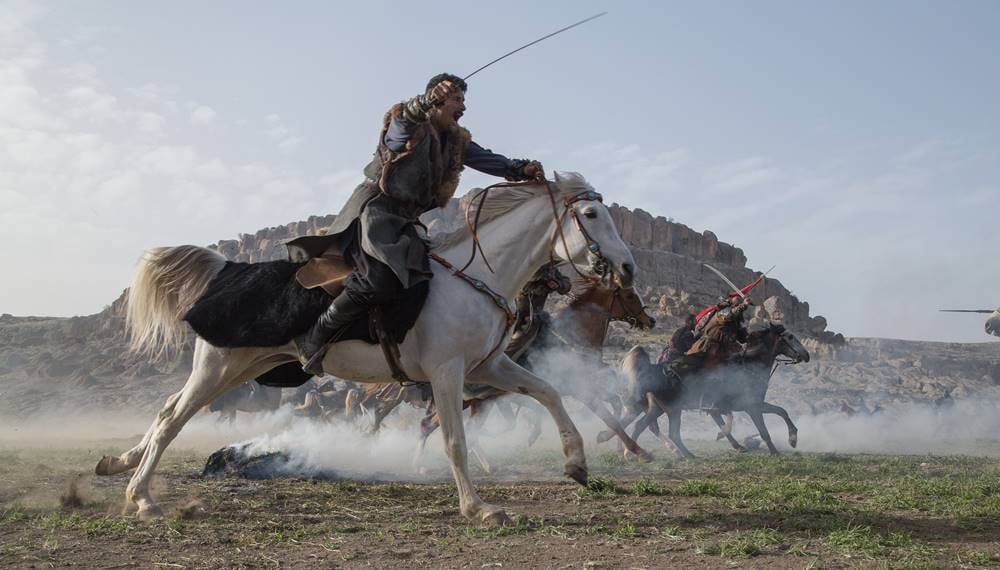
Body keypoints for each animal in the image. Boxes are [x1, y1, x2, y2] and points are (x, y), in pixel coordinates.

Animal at [97, 173, 636, 524]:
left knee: (166, 410)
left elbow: (548, 392)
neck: (476, 277)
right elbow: (454, 440)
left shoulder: (490, 366)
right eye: (590, 214)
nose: (628, 267)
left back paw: (120, 464)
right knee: (172, 419)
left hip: (236, 369)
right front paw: (478, 507)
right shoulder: (446, 373)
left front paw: (576, 462)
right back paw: (141, 497)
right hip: (220, 367)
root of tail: (229, 267)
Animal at [604, 322, 808, 454]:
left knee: (640, 425)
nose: (806, 355)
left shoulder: (755, 405)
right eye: (790, 337)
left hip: (658, 409)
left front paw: (792, 439)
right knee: (669, 432)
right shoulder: (752, 407)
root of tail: (653, 370)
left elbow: (781, 411)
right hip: (672, 409)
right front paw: (777, 450)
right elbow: (764, 430)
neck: (750, 366)